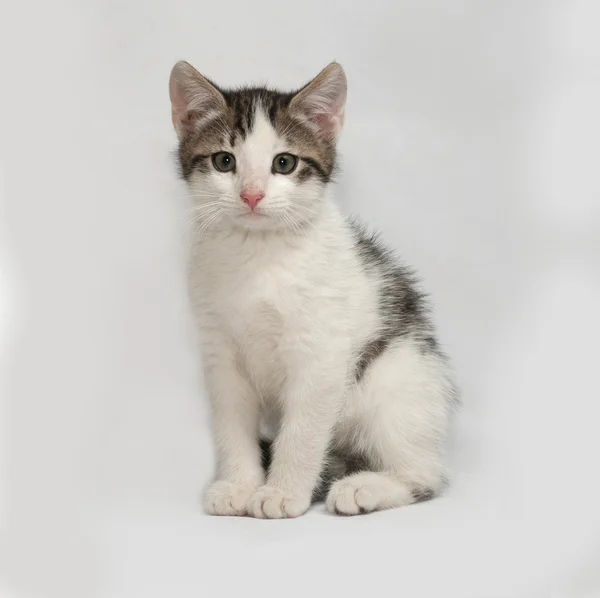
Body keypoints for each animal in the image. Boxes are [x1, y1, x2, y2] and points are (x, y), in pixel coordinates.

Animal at [166, 62, 458, 520]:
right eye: (224, 161)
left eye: (284, 163)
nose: (252, 195)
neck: (259, 253)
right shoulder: (220, 353)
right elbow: (231, 422)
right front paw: (239, 485)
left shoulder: (321, 352)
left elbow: (301, 430)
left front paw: (282, 492)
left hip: (399, 382)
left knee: (425, 474)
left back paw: (366, 487)